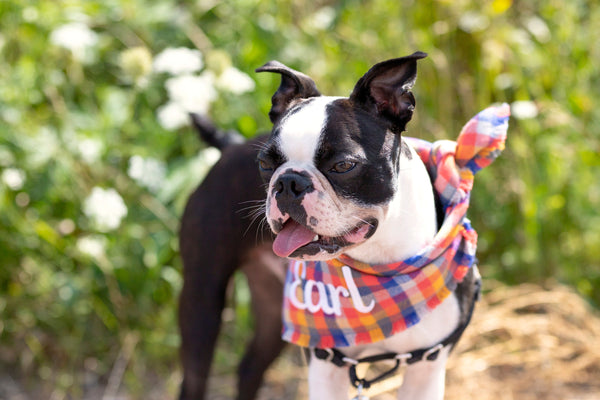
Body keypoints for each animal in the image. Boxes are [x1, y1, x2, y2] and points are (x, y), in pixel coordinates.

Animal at [178, 51, 506, 398]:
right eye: (265, 164)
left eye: (344, 165)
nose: (289, 182)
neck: (380, 265)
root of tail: (230, 145)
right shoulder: (326, 363)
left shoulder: (427, 367)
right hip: (202, 298)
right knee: (196, 375)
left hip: (270, 307)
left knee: (250, 367)